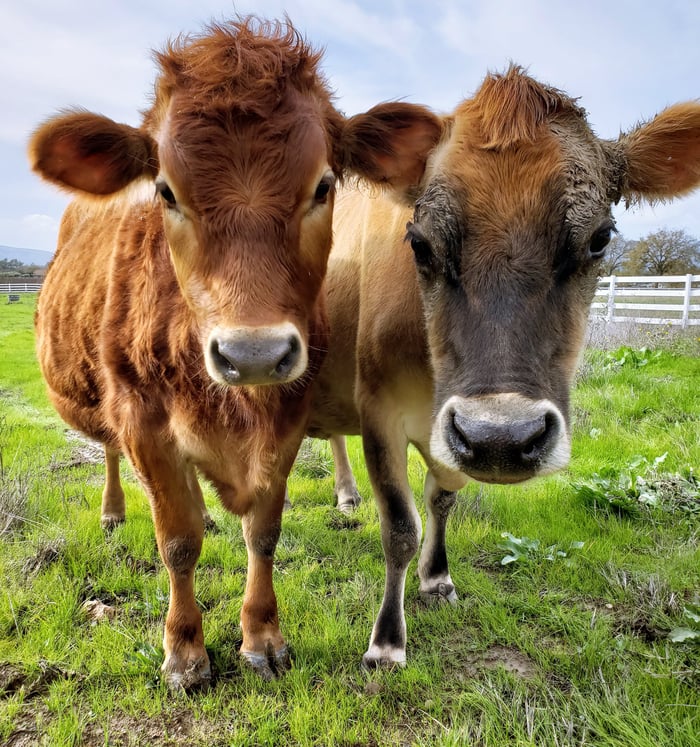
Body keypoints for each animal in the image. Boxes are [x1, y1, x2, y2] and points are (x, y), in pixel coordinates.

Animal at [30, 17, 442, 688]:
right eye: (166, 191)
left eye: (323, 184)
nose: (253, 354)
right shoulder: (143, 421)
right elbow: (176, 542)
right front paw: (184, 650)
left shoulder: (288, 417)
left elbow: (263, 533)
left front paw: (262, 637)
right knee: (113, 455)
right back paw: (115, 512)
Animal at [308, 67, 700, 668]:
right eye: (419, 243)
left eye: (600, 239)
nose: (501, 439)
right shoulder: (378, 411)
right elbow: (399, 526)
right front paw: (387, 641)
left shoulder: (446, 435)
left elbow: (442, 498)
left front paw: (437, 577)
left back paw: (348, 496)